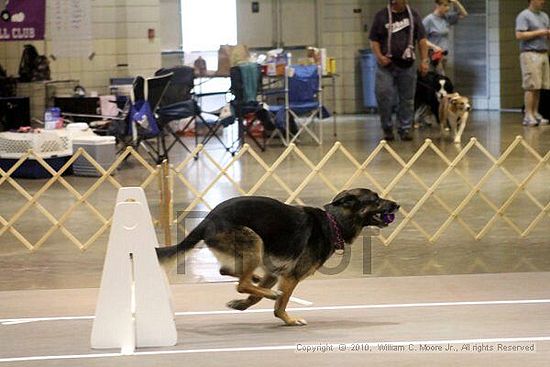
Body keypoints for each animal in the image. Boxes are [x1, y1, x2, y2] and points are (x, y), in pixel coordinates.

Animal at [157, 188, 398, 326]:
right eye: (376, 199)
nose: (397, 205)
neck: (334, 222)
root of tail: (207, 219)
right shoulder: (291, 277)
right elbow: (281, 304)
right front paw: (288, 320)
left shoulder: (273, 273)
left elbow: (254, 297)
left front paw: (242, 305)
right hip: (254, 242)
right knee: (241, 283)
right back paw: (267, 291)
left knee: (229, 272)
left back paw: (254, 282)